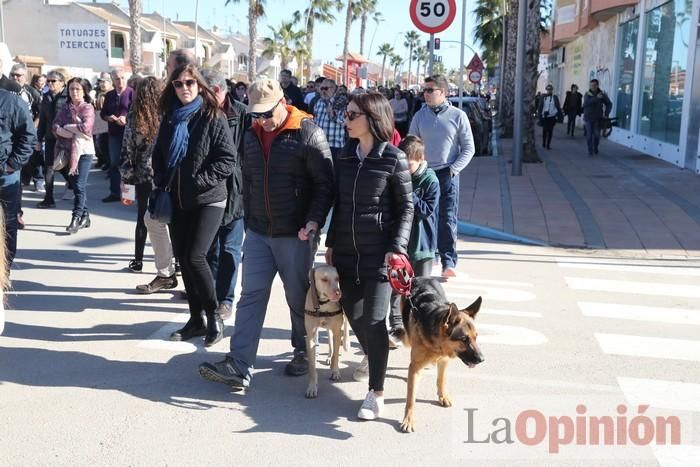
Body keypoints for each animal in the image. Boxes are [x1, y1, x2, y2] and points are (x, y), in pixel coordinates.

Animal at [304, 266, 348, 400]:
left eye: (337, 278)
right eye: (324, 279)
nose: (338, 293)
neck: (323, 304)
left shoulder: (337, 330)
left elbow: (336, 355)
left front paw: (335, 371)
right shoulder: (310, 336)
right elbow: (312, 367)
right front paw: (312, 387)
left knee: (344, 332)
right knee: (330, 343)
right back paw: (329, 357)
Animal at [400, 278, 482, 436]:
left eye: (476, 337)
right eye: (464, 339)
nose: (482, 359)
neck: (438, 344)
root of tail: (420, 278)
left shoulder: (444, 360)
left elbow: (441, 380)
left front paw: (443, 396)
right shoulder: (415, 367)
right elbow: (411, 398)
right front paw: (408, 420)